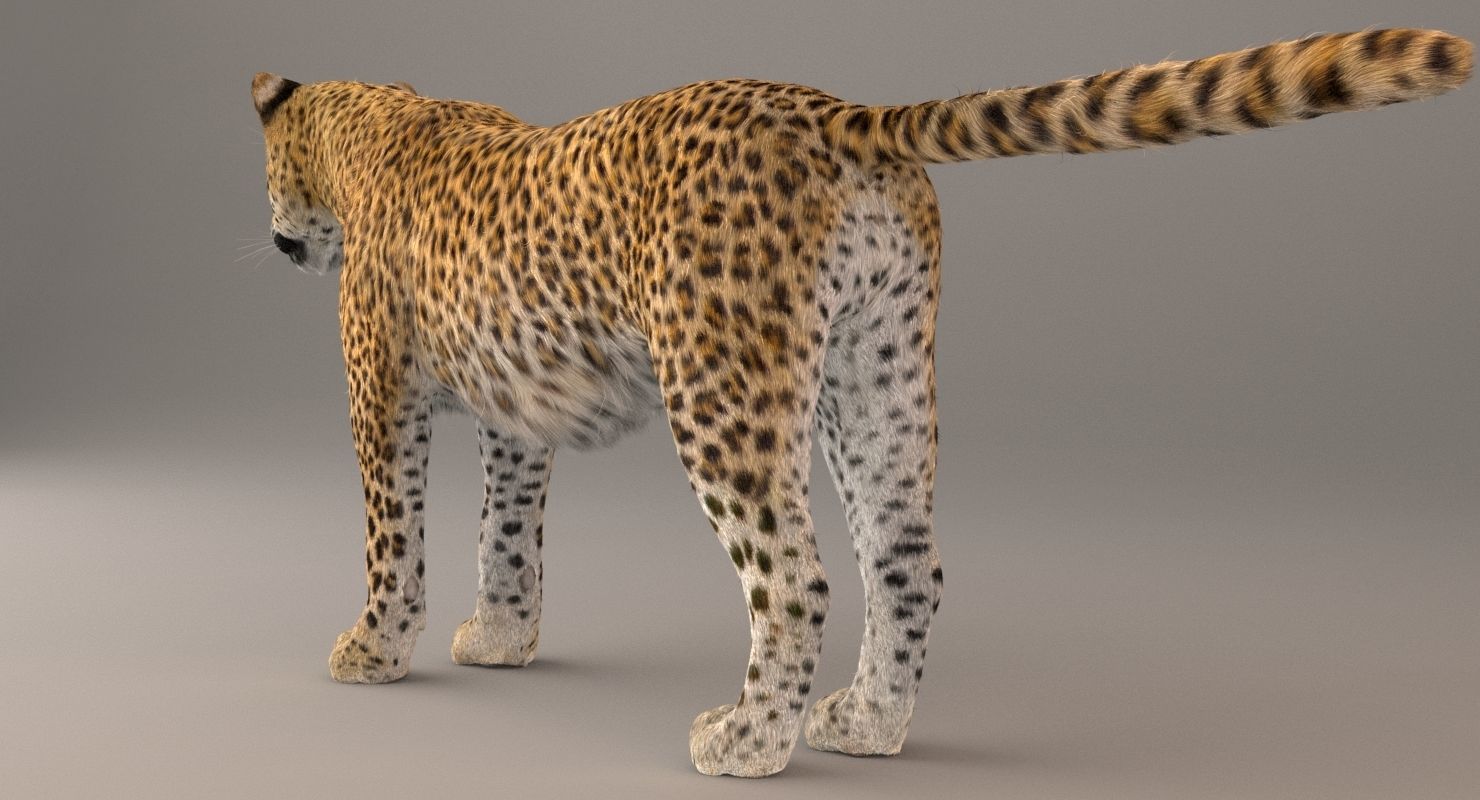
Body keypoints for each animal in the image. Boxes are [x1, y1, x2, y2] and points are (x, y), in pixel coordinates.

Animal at [251, 27, 1471, 777]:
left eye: (268, 176)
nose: (275, 241)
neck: (372, 124)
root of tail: (836, 110)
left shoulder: (381, 396)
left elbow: (395, 538)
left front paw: (373, 650)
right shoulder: (517, 420)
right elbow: (506, 537)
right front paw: (502, 639)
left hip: (723, 384)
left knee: (793, 575)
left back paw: (749, 738)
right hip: (876, 371)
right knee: (906, 558)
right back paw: (868, 724)